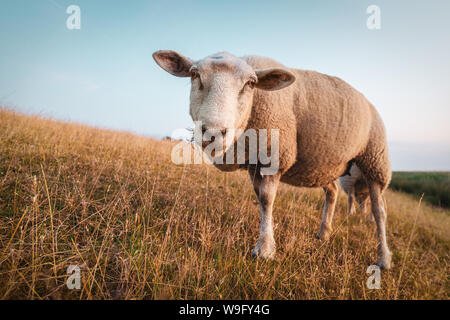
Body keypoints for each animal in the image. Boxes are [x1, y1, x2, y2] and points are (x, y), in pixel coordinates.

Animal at [153, 50, 392, 268]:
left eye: (251, 83)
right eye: (194, 74)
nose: (213, 132)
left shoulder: (274, 156)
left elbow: (267, 199)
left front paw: (265, 249)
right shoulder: (253, 163)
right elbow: (260, 197)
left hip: (374, 161)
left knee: (379, 211)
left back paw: (383, 258)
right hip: (325, 164)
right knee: (332, 192)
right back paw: (324, 233)